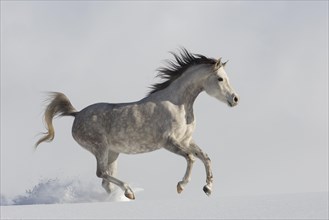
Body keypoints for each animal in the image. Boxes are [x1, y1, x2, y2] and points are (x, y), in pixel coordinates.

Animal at [36, 48, 238, 199]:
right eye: (220, 78)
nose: (235, 99)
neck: (177, 104)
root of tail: (77, 114)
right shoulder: (169, 142)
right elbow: (191, 158)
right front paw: (181, 186)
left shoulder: (186, 140)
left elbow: (206, 158)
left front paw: (208, 189)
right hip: (100, 148)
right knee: (101, 173)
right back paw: (129, 191)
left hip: (113, 153)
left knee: (105, 181)